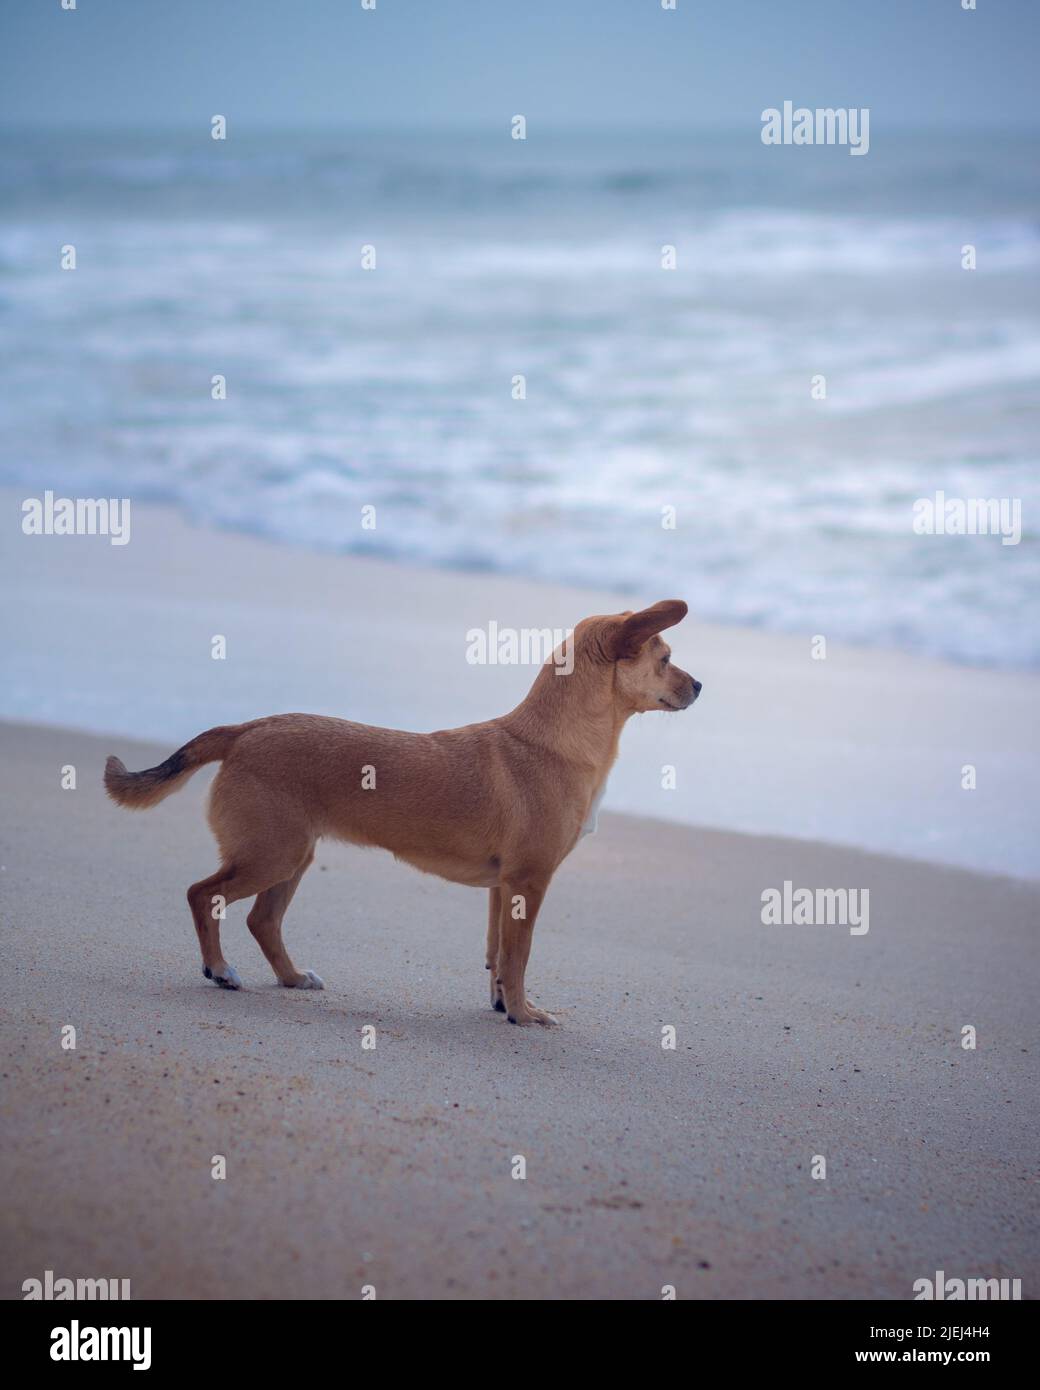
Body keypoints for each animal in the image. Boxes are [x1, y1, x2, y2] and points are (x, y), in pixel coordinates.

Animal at [103, 597, 697, 1023]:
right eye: (666, 660)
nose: (699, 685)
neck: (552, 741)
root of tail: (245, 729)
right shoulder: (529, 883)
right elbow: (519, 956)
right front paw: (525, 1014)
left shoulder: (503, 888)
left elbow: (497, 955)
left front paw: (503, 1005)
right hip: (271, 855)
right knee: (202, 895)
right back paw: (220, 969)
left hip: (292, 857)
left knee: (261, 920)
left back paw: (292, 978)